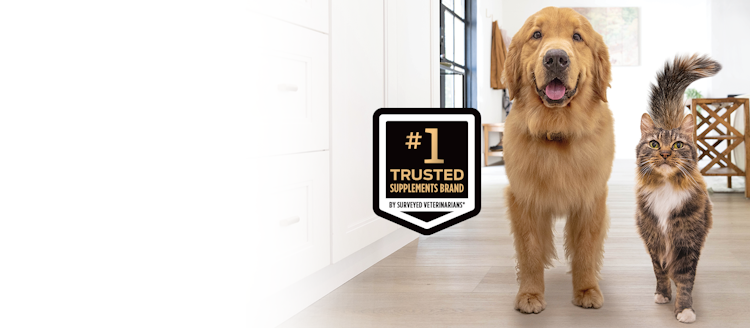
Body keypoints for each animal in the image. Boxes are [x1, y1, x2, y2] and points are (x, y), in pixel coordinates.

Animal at [502, 7, 612, 312]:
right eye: (537, 34)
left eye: (577, 37)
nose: (555, 58)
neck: (557, 130)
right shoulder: (524, 200)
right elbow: (529, 251)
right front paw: (529, 294)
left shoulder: (591, 200)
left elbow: (585, 249)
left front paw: (586, 289)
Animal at [636, 53, 720, 322]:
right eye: (654, 144)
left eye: (677, 145)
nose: (664, 153)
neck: (666, 188)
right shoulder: (653, 238)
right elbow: (660, 271)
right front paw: (662, 294)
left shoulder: (687, 240)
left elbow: (684, 279)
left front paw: (685, 310)